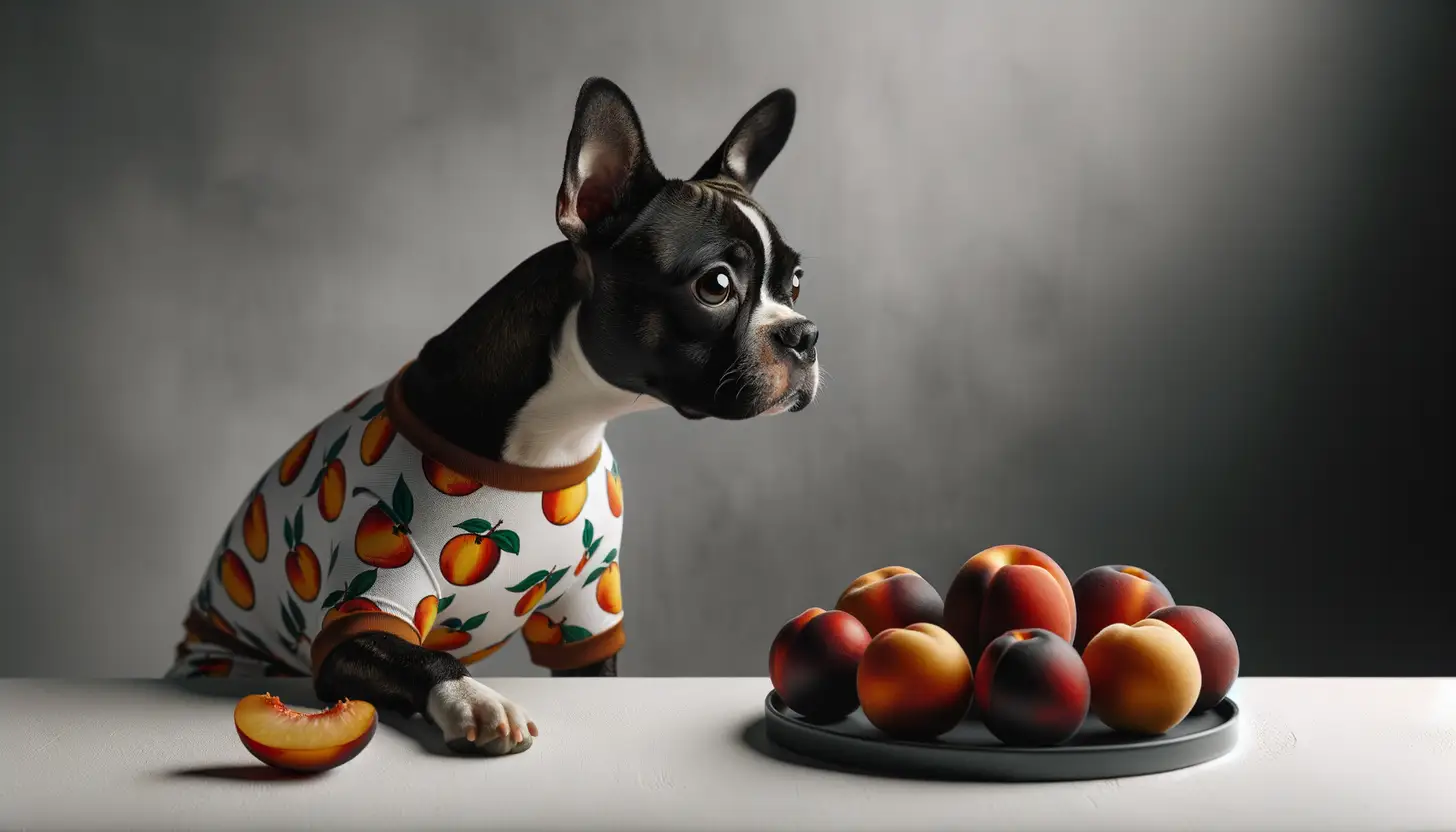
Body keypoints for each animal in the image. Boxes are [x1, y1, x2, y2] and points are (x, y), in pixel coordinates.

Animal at [170, 77, 821, 757]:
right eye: (715, 286)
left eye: (797, 282)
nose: (805, 335)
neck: (559, 433)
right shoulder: (362, 614)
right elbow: (422, 656)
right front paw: (475, 700)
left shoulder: (587, 618)